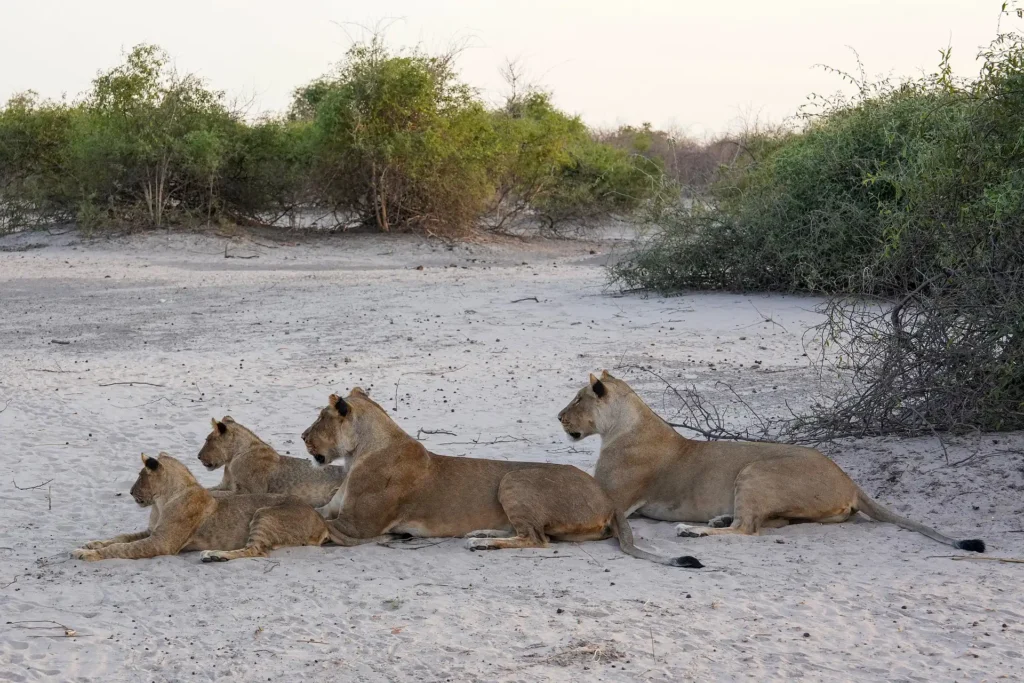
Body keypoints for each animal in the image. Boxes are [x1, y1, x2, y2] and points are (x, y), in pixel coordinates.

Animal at [71, 453, 329, 562]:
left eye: (140, 475)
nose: (132, 492)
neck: (160, 502)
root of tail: (320, 520)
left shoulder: (161, 543)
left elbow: (122, 548)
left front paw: (88, 553)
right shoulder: (152, 532)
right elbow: (121, 537)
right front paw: (92, 543)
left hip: (264, 514)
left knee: (256, 550)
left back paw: (214, 555)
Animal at [199, 416, 347, 507]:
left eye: (207, 440)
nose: (198, 456)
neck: (231, 460)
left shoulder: (252, 491)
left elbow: (217, 494)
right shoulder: (224, 485)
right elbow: (209, 489)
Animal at [300, 388, 703, 567]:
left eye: (320, 418)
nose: (303, 436)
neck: (358, 454)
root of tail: (606, 497)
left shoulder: (357, 526)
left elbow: (315, 518)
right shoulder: (340, 513)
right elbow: (307, 506)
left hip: (514, 480)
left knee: (538, 540)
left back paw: (483, 543)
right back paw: (482, 533)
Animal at [557, 371, 985, 552]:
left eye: (578, 399)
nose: (559, 417)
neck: (623, 425)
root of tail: (849, 480)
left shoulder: (613, 497)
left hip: (756, 470)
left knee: (749, 529)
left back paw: (695, 531)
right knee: (769, 521)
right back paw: (717, 519)